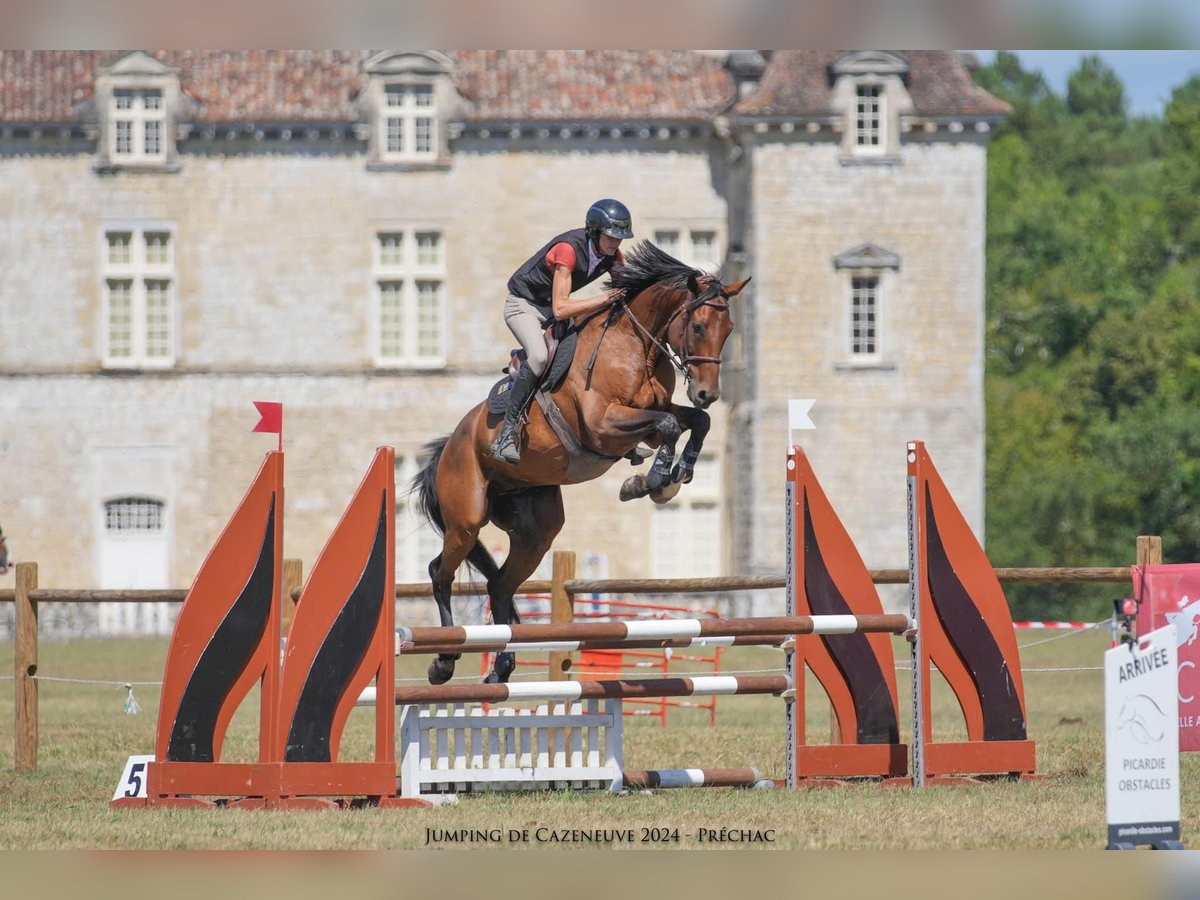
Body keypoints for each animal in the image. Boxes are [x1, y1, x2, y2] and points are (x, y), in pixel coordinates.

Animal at [417, 240, 744, 681]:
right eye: (697, 327)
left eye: (728, 330)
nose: (708, 393)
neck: (634, 346)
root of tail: (448, 446)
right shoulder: (603, 425)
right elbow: (670, 427)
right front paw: (655, 479)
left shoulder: (648, 420)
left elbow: (693, 422)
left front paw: (672, 476)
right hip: (467, 518)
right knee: (440, 572)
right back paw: (444, 661)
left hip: (537, 531)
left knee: (500, 585)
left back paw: (502, 668)